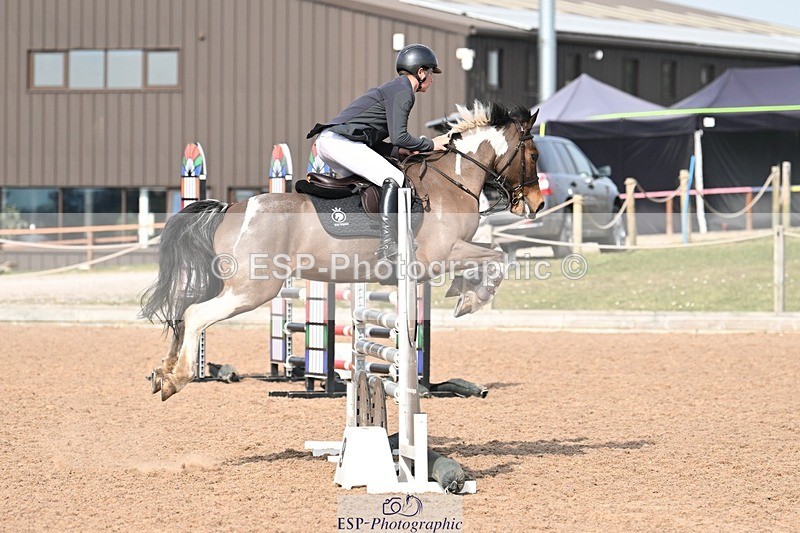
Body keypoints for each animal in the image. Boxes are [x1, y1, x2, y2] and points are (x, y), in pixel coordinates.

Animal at [141, 101, 543, 401]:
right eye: (535, 154)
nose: (537, 204)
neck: (452, 181)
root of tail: (230, 209)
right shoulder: (441, 256)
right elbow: (497, 257)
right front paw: (471, 299)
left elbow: (492, 252)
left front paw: (465, 292)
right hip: (253, 289)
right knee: (194, 314)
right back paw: (178, 378)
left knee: (182, 313)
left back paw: (162, 373)